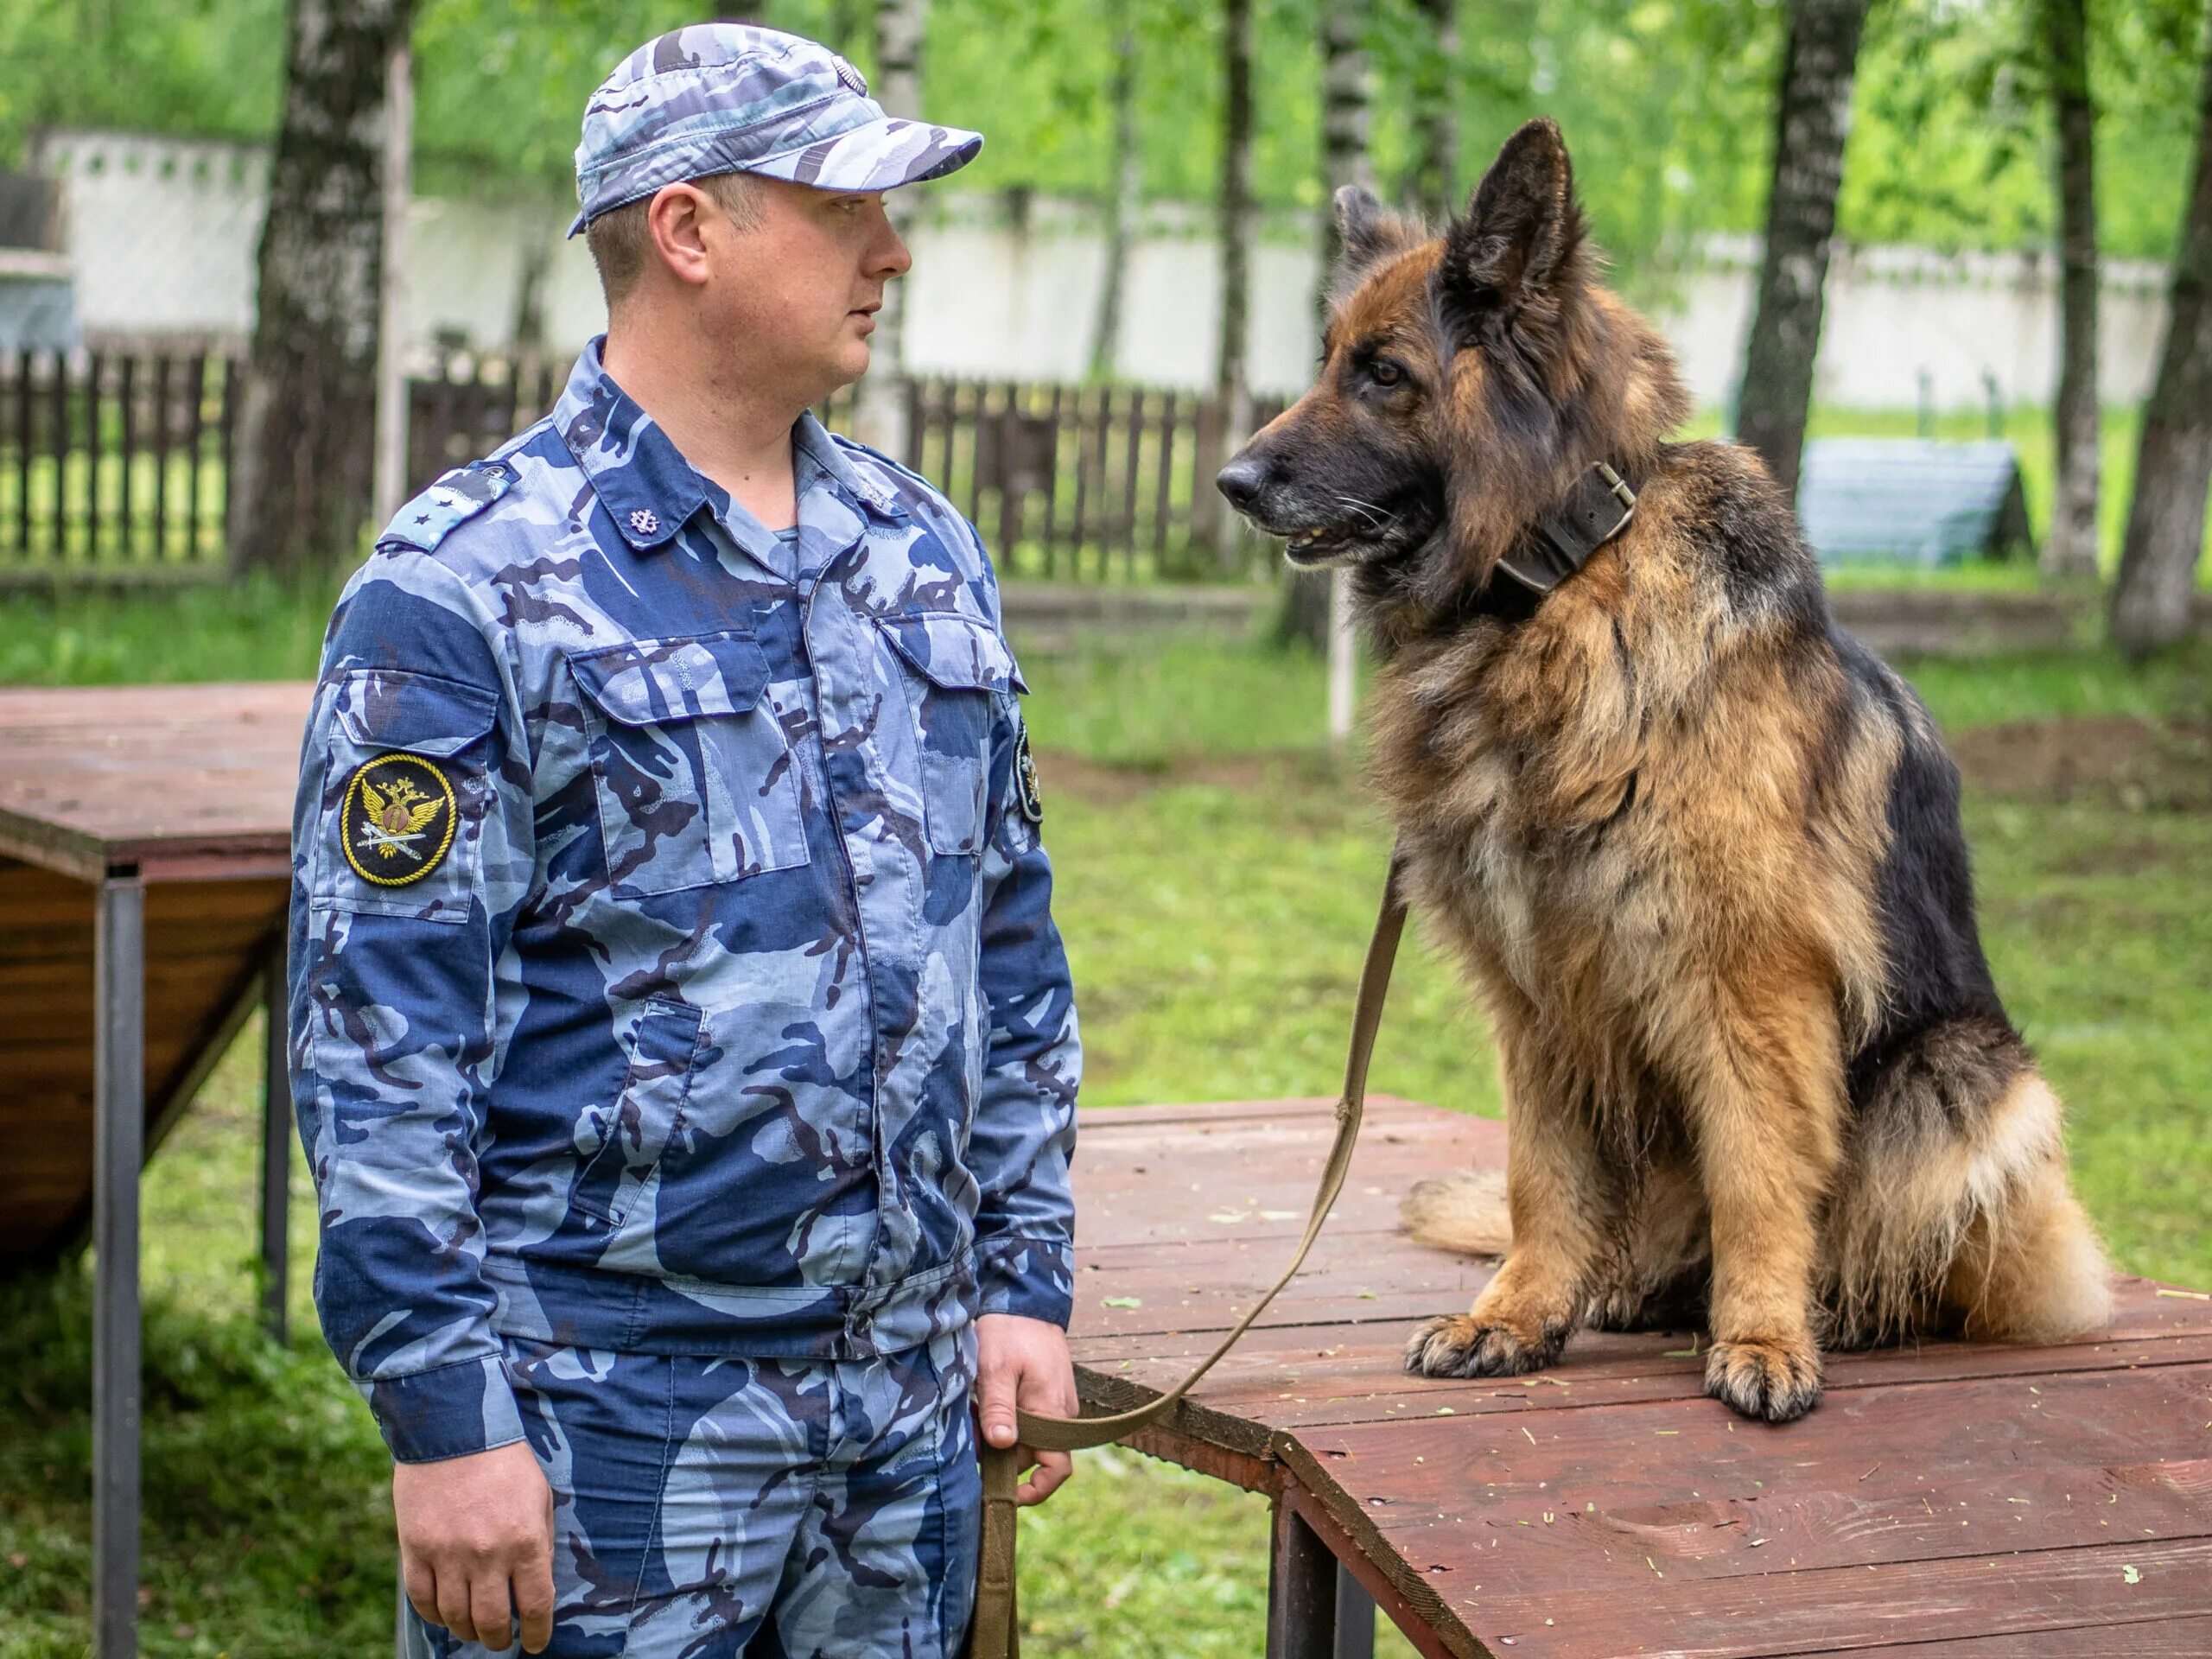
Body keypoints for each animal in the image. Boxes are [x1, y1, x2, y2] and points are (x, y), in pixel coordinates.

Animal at [1230, 119, 2106, 1433]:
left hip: (1957, 1081)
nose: (1234, 482)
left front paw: (1765, 1336)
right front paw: (1515, 1316)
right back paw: (1624, 1291)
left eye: (1384, 373)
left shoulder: (1749, 982)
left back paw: (1834, 1310)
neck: (1555, 580)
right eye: (1328, 362)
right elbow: (1540, 1177)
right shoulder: (1536, 989)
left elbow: (1760, 1172)